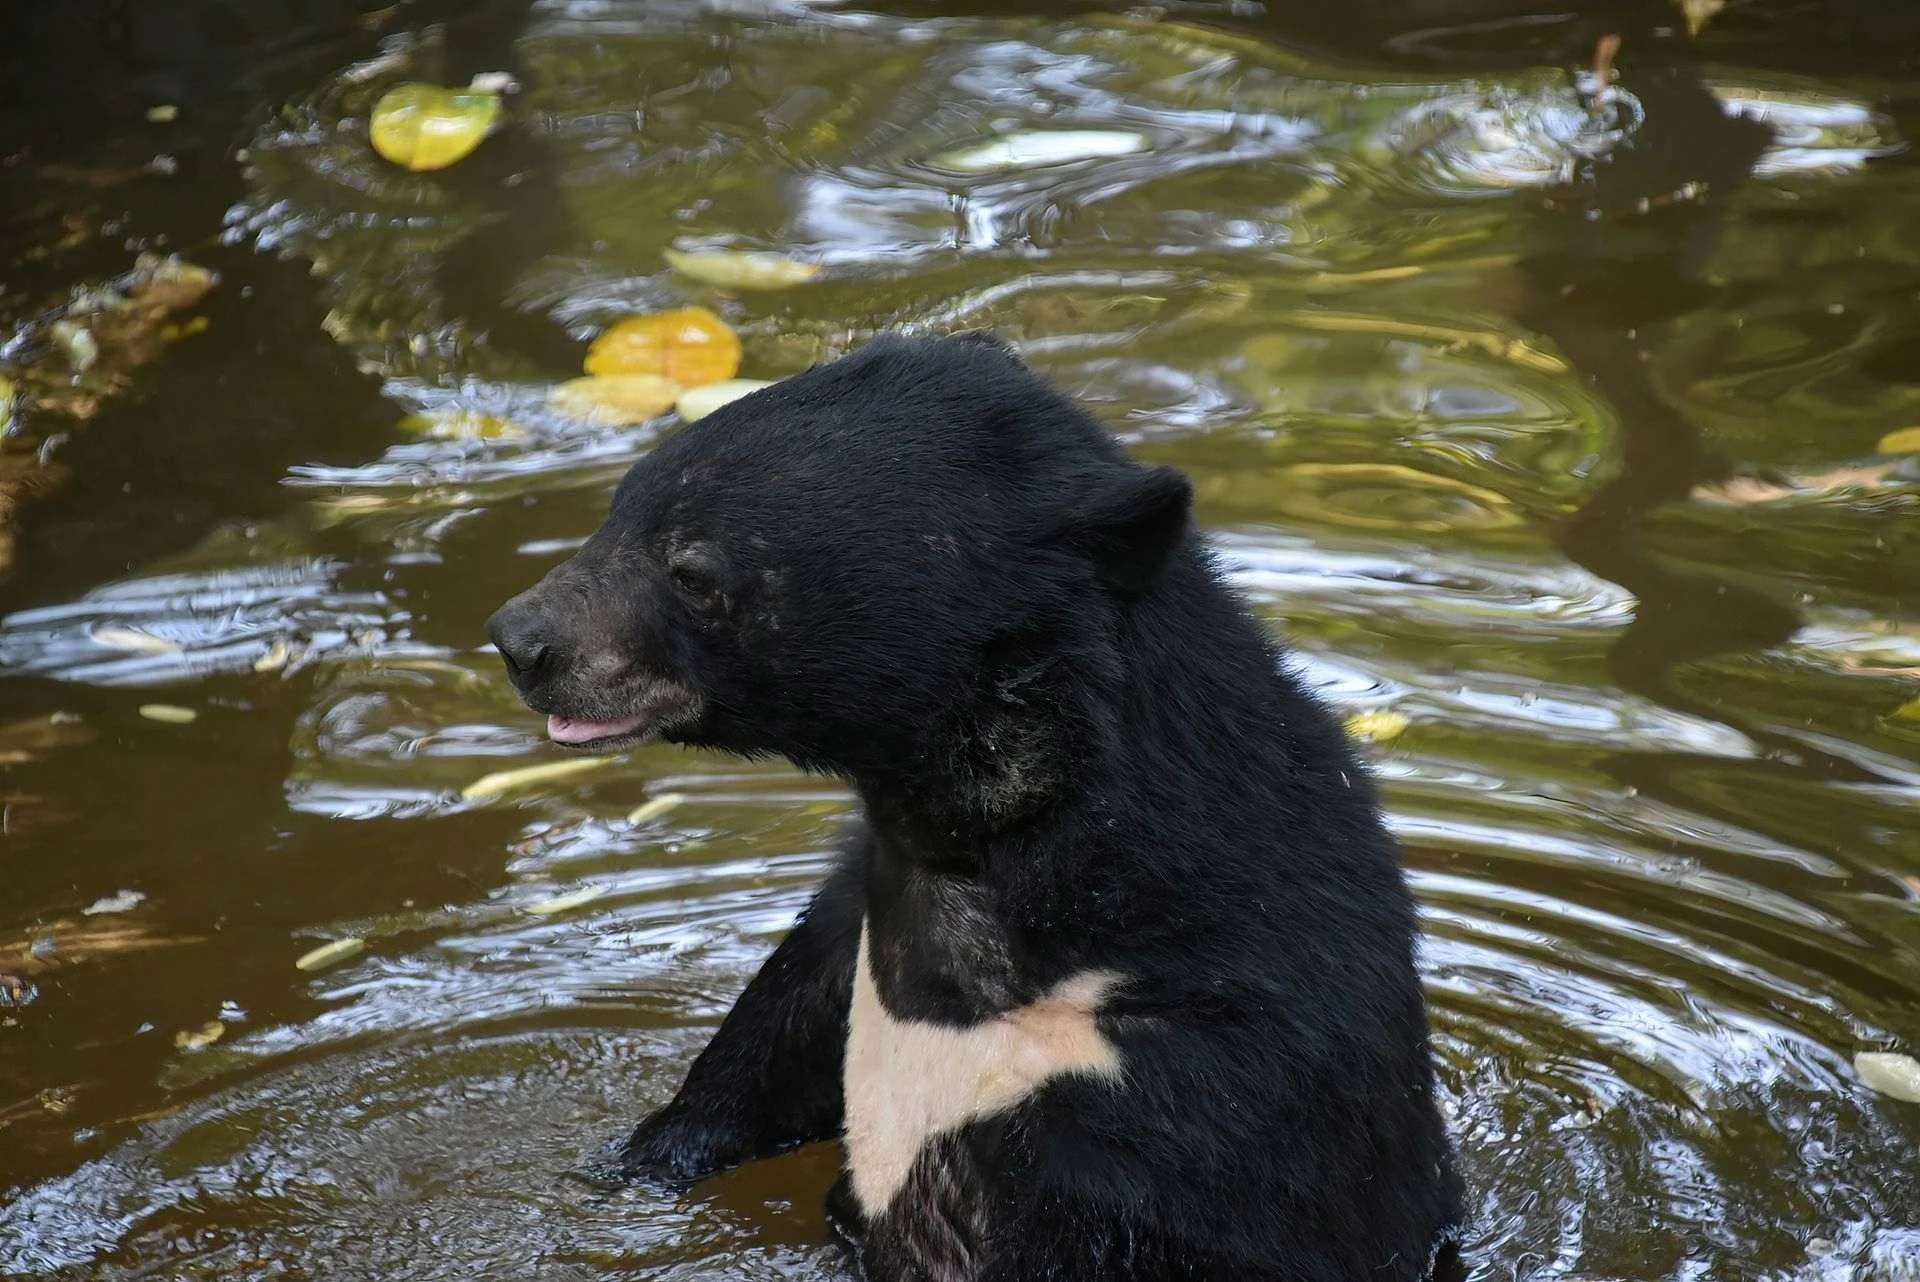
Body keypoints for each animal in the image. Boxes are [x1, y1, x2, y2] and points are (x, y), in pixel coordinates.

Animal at [486, 331, 1464, 1281]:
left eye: (692, 570)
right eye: (621, 506)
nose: (520, 640)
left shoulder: (1175, 1101)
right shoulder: (847, 925)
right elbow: (752, 1061)